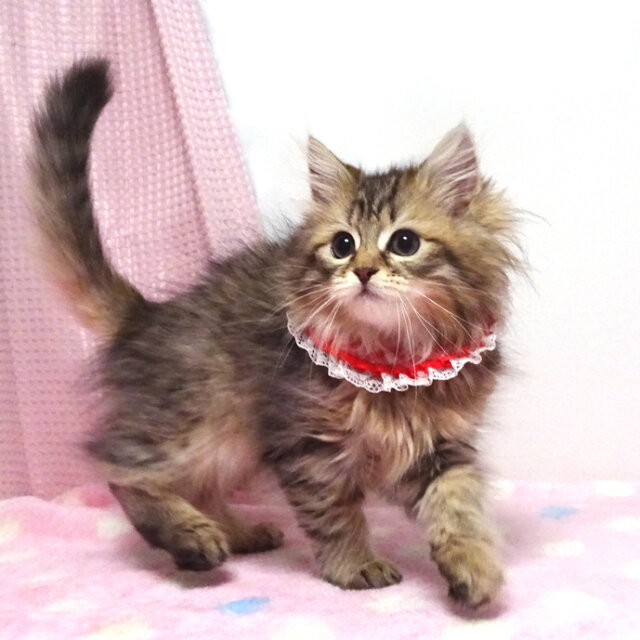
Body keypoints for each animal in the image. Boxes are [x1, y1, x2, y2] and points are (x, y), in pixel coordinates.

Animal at [30, 58, 519, 608]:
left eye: (405, 242)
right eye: (342, 245)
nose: (364, 271)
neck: (390, 354)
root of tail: (148, 315)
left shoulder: (441, 446)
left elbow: (458, 507)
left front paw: (473, 566)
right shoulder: (307, 445)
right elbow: (336, 516)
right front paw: (355, 565)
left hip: (230, 442)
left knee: (195, 486)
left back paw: (238, 533)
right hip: (202, 422)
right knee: (122, 471)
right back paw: (192, 538)